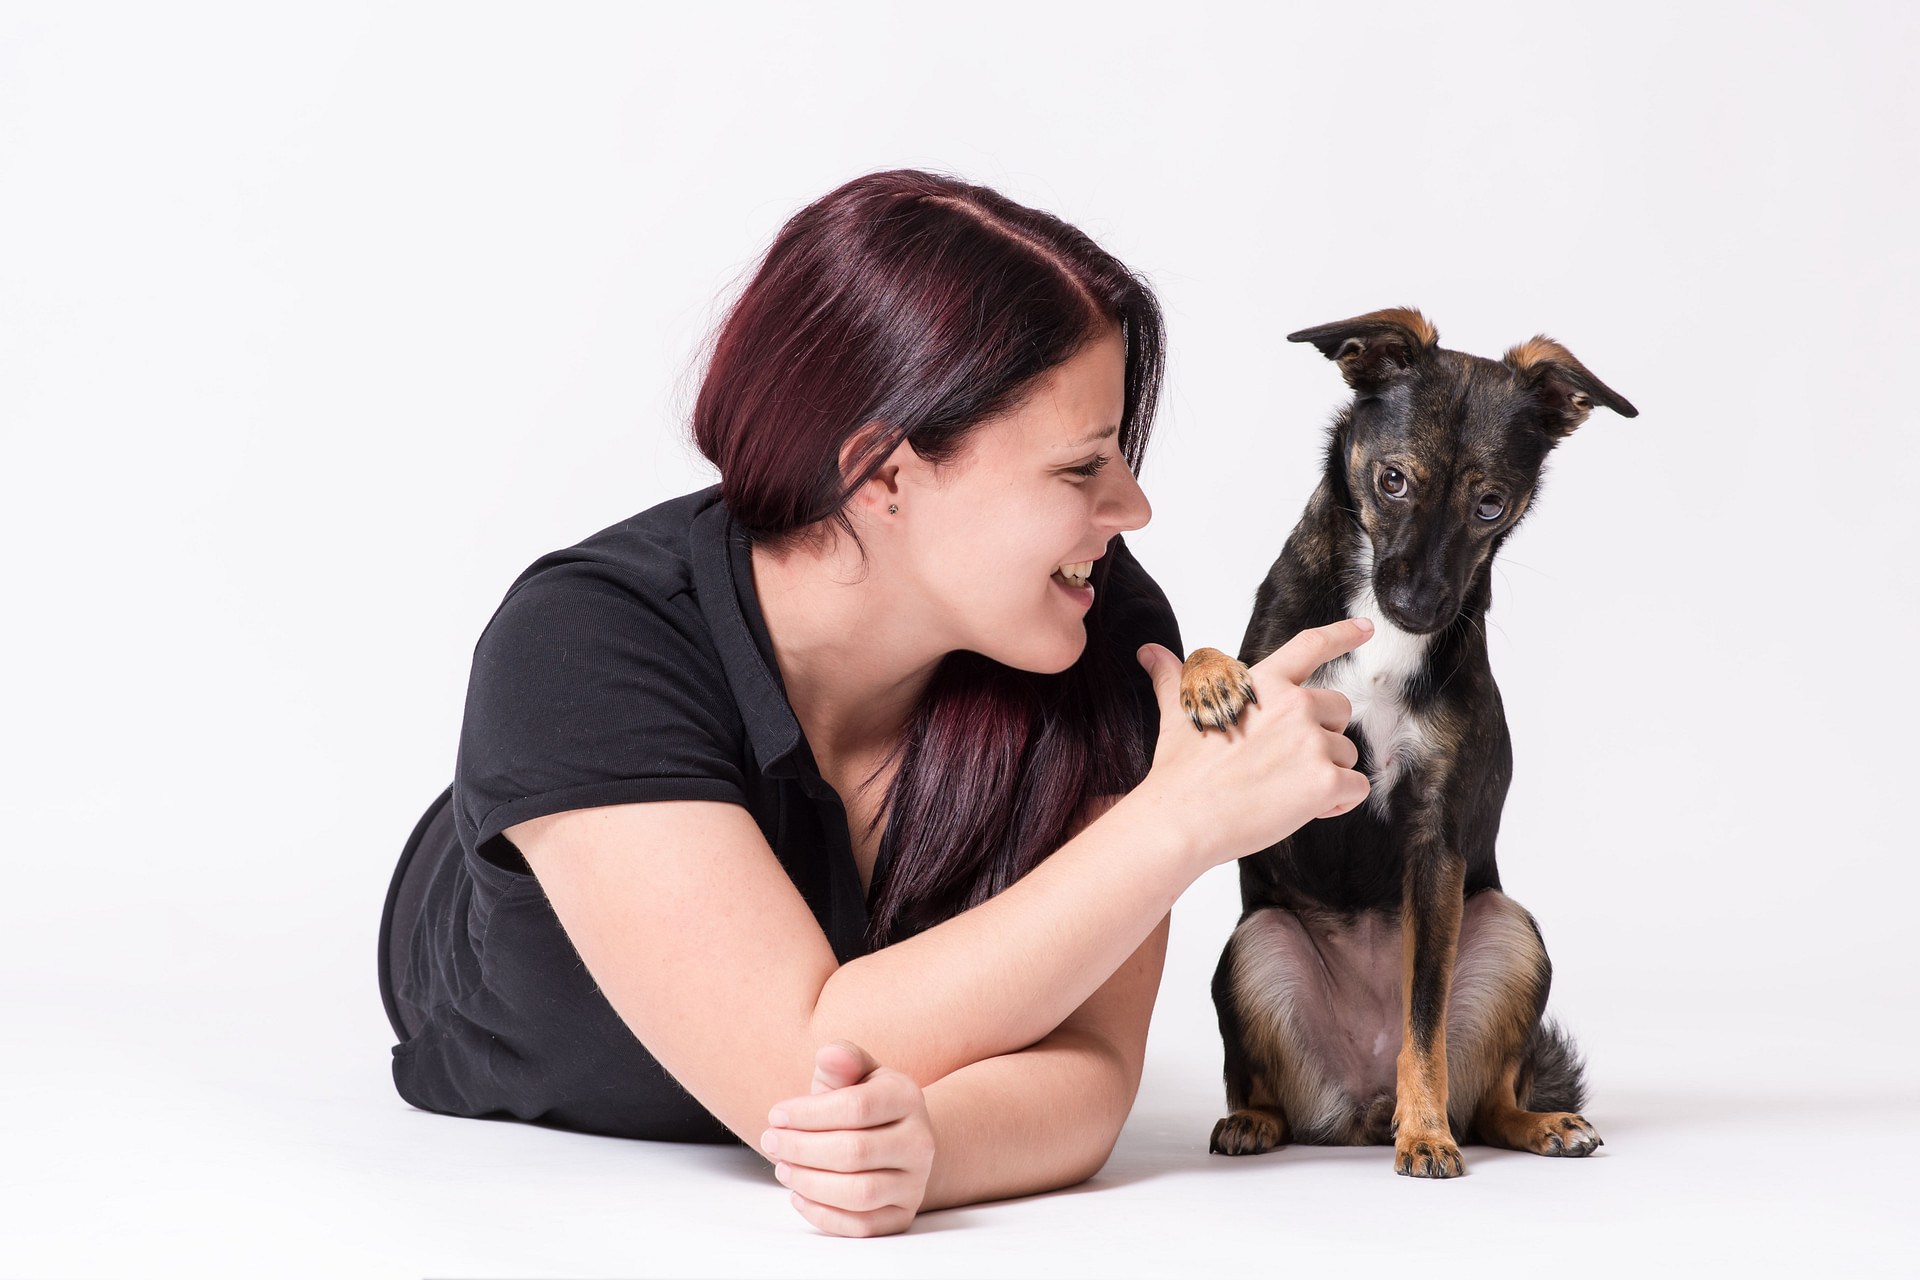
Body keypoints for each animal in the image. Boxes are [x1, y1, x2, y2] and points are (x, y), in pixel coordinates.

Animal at [1177, 307, 1635, 1178]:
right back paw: (1251, 1121)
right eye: (1392, 481)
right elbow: (1222, 654)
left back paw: (1535, 1123)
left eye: (1491, 505)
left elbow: (1423, 1023)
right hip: (1255, 947)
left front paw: (1425, 1133)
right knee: (1258, 1087)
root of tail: (1359, 1110)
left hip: (1509, 932)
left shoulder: (1436, 842)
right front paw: (1208, 677)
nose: (1421, 605)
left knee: (1486, 1100)